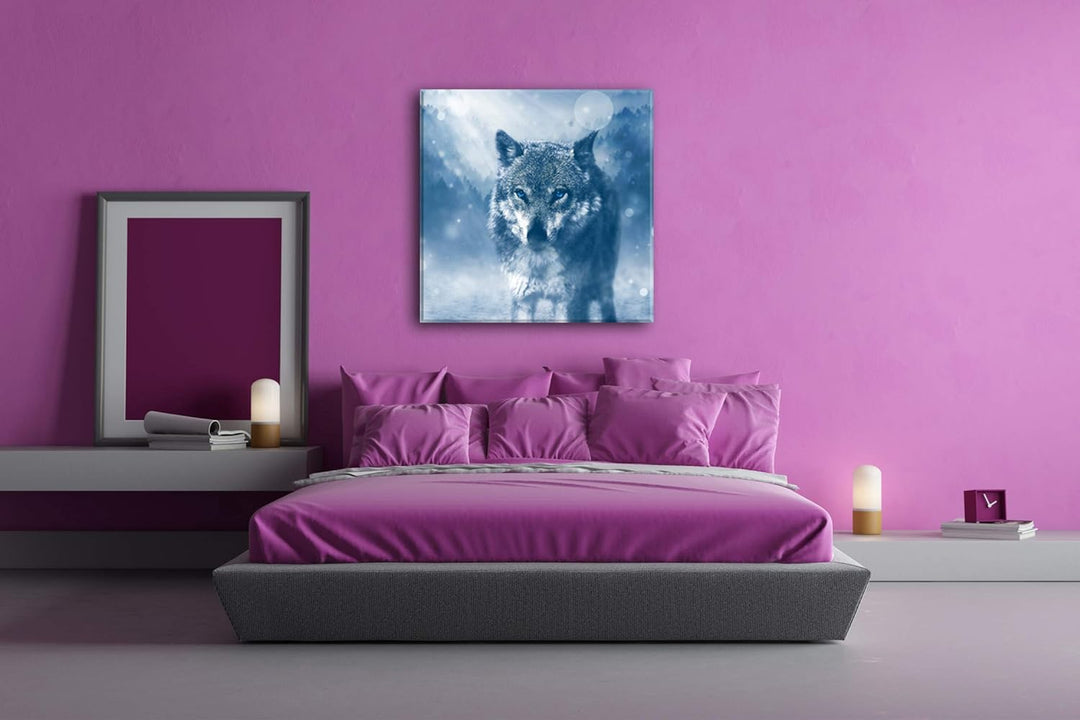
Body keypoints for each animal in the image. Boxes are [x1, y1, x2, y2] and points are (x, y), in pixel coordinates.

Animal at [488, 129, 620, 322]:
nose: (536, 236)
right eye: (520, 193)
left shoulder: (569, 301)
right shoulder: (523, 300)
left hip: (604, 273)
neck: (540, 264)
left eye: (559, 193)